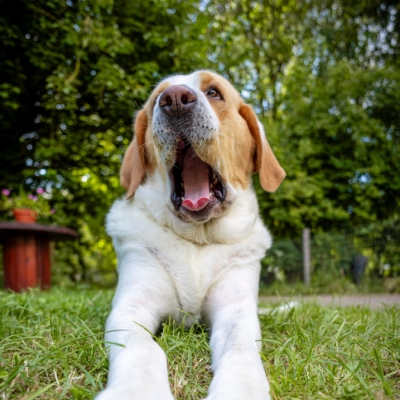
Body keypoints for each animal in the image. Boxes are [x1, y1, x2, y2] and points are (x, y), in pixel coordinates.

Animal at [96, 70, 284, 398]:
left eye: (214, 92)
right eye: (156, 99)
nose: (174, 99)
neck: (199, 237)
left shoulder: (235, 308)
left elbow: (240, 347)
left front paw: (241, 387)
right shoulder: (132, 306)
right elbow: (143, 349)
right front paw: (137, 389)